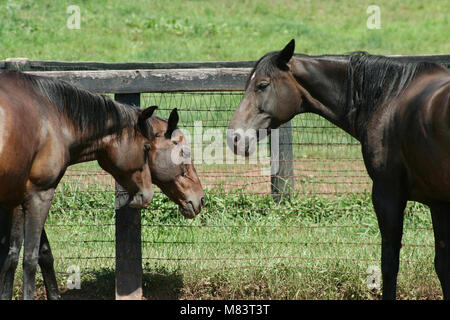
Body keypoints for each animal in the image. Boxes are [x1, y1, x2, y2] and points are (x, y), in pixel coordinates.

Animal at [0, 70, 156, 300]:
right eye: (146, 147)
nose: (147, 194)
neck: (52, 117)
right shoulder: (39, 195)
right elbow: (30, 258)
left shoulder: (16, 201)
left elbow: (11, 258)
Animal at [229, 40, 450, 300]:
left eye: (262, 85)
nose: (234, 137)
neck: (390, 98)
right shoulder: (438, 203)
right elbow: (442, 265)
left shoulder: (388, 195)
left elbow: (389, 265)